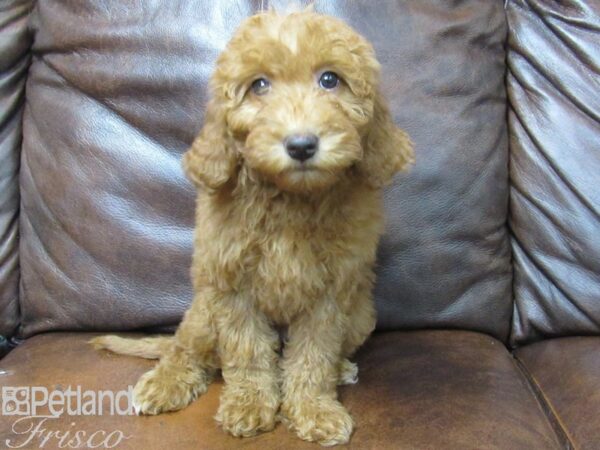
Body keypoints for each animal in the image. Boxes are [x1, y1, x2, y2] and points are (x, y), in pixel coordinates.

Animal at [92, 7, 412, 446]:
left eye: (330, 79)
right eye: (259, 85)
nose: (301, 145)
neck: (291, 199)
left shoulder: (331, 294)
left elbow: (313, 356)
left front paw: (313, 408)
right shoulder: (233, 286)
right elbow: (247, 354)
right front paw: (249, 405)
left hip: (362, 313)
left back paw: (341, 370)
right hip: (203, 308)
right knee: (185, 350)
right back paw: (165, 383)